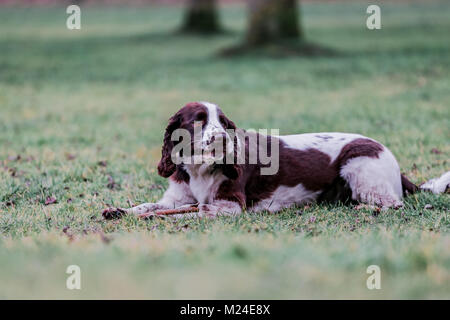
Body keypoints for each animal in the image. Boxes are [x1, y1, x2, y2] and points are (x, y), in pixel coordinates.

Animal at [103, 101, 450, 219]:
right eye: (198, 120)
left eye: (224, 122)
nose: (222, 137)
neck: (199, 169)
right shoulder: (176, 197)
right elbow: (149, 207)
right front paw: (119, 211)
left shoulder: (230, 205)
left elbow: (195, 211)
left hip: (359, 166)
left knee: (392, 203)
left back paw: (364, 208)